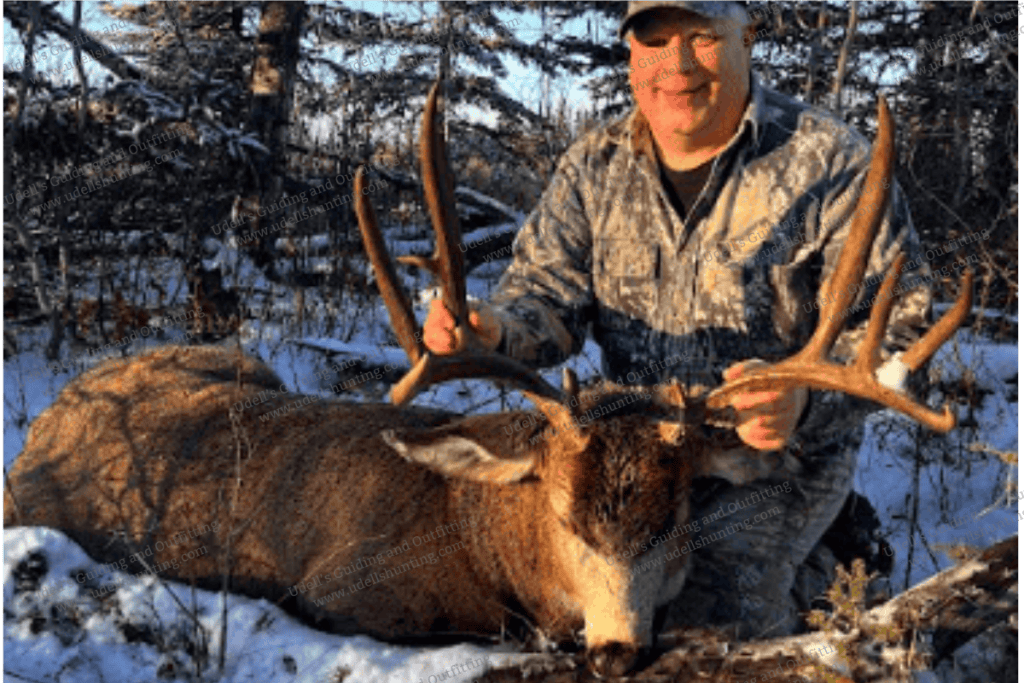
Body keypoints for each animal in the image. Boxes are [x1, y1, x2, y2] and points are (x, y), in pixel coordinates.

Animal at [3, 81, 972, 676]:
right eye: (562, 513)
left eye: (676, 516)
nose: (618, 651)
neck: (475, 531)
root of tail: (46, 421)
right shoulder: (344, 592)